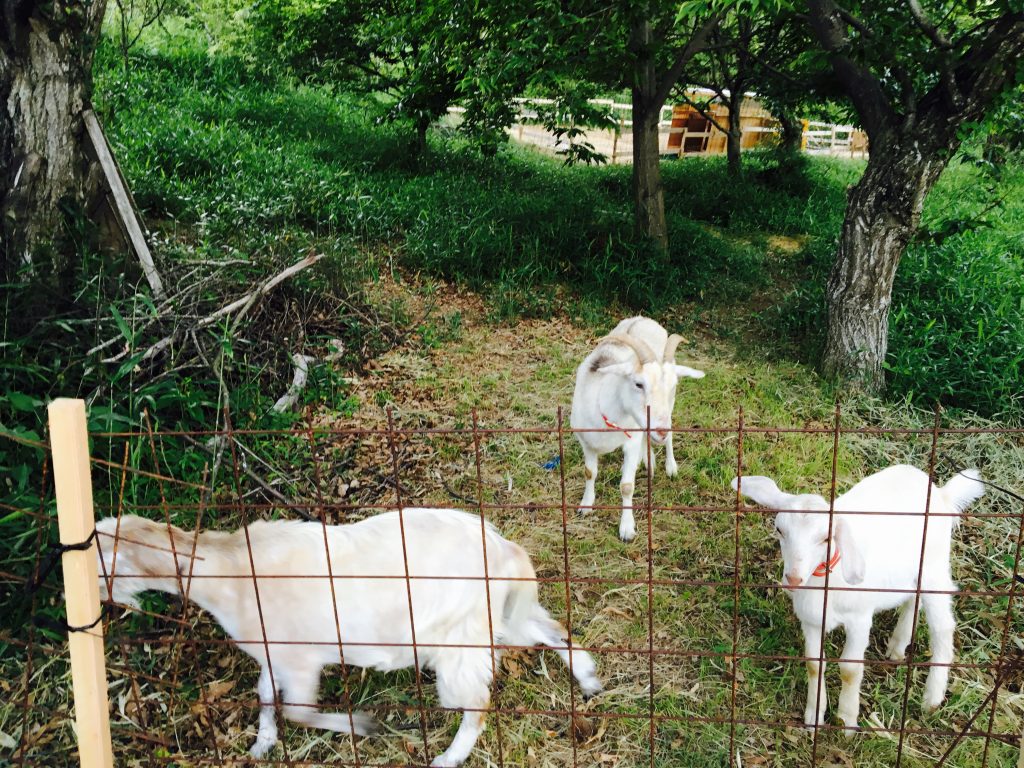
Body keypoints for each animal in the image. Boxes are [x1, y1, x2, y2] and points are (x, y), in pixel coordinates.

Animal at [95, 507, 598, 765]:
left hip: (458, 643)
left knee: (477, 703)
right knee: (546, 627)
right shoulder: (275, 653)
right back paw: (588, 676)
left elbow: (298, 711)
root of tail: (504, 550)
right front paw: (262, 741)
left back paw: (448, 759)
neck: (232, 573)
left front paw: (362, 726)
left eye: (103, 560)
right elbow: (265, 694)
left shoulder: (301, 660)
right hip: (493, 617)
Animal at [569, 315, 704, 544]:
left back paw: (670, 466)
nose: (661, 431)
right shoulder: (586, 442)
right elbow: (589, 473)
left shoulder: (630, 442)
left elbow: (627, 486)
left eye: (672, 384)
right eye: (638, 384)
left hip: (669, 408)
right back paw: (649, 460)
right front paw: (586, 505)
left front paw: (626, 528)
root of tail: (644, 318)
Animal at [729, 466, 983, 737]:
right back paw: (897, 645)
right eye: (779, 530)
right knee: (912, 599)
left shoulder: (860, 619)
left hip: (934, 567)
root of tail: (942, 494)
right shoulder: (811, 620)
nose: (794, 578)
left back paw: (932, 698)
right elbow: (814, 664)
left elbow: (850, 670)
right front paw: (814, 717)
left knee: (942, 626)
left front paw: (846, 722)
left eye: (826, 538)